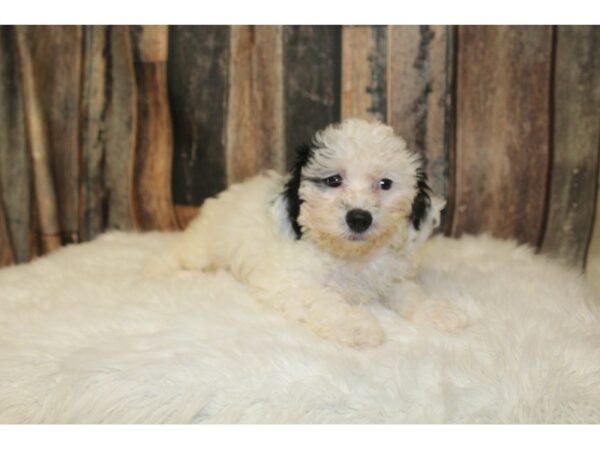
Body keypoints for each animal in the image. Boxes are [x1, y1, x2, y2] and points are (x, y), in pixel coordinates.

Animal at [146, 119, 468, 348]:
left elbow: (409, 293)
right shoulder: (291, 282)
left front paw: (437, 311)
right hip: (203, 248)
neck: (350, 257)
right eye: (333, 180)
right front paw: (357, 325)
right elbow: (323, 299)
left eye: (385, 184)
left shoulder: (391, 276)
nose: (359, 218)